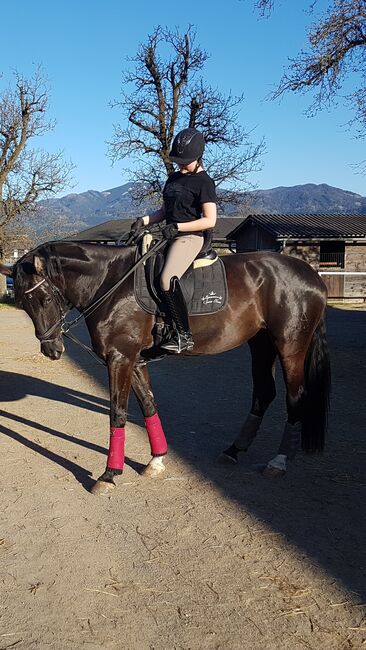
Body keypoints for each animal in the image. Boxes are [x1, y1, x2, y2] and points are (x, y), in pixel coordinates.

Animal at [0, 240, 332, 494]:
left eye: (44, 299)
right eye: (23, 304)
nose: (51, 350)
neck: (109, 283)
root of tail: (312, 276)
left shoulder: (120, 359)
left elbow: (117, 413)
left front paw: (109, 474)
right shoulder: (133, 360)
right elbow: (148, 405)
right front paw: (156, 460)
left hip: (290, 346)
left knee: (295, 397)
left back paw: (278, 461)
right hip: (261, 345)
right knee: (264, 393)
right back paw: (233, 451)